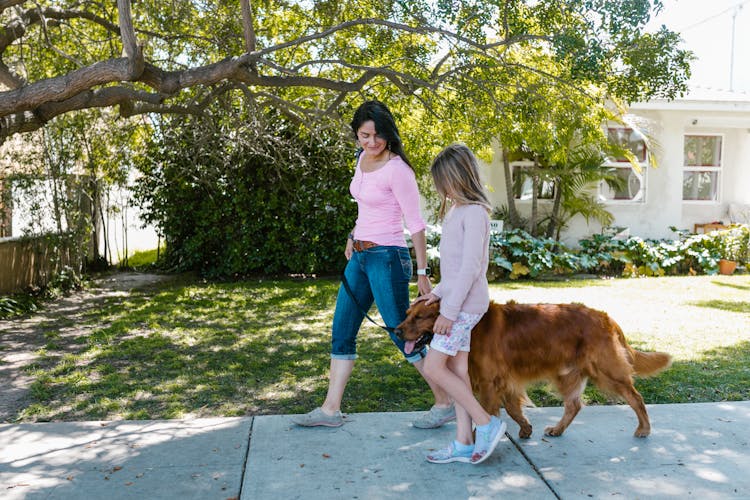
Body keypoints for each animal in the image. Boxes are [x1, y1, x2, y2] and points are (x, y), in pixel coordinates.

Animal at [396, 300, 672, 438]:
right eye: (407, 313)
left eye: (420, 317)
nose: (396, 331)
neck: (470, 326)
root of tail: (606, 317)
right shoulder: (504, 380)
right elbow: (512, 408)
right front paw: (525, 428)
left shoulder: (490, 382)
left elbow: (488, 411)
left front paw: (480, 438)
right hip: (567, 374)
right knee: (574, 405)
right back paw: (558, 430)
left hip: (606, 370)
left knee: (636, 397)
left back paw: (644, 429)